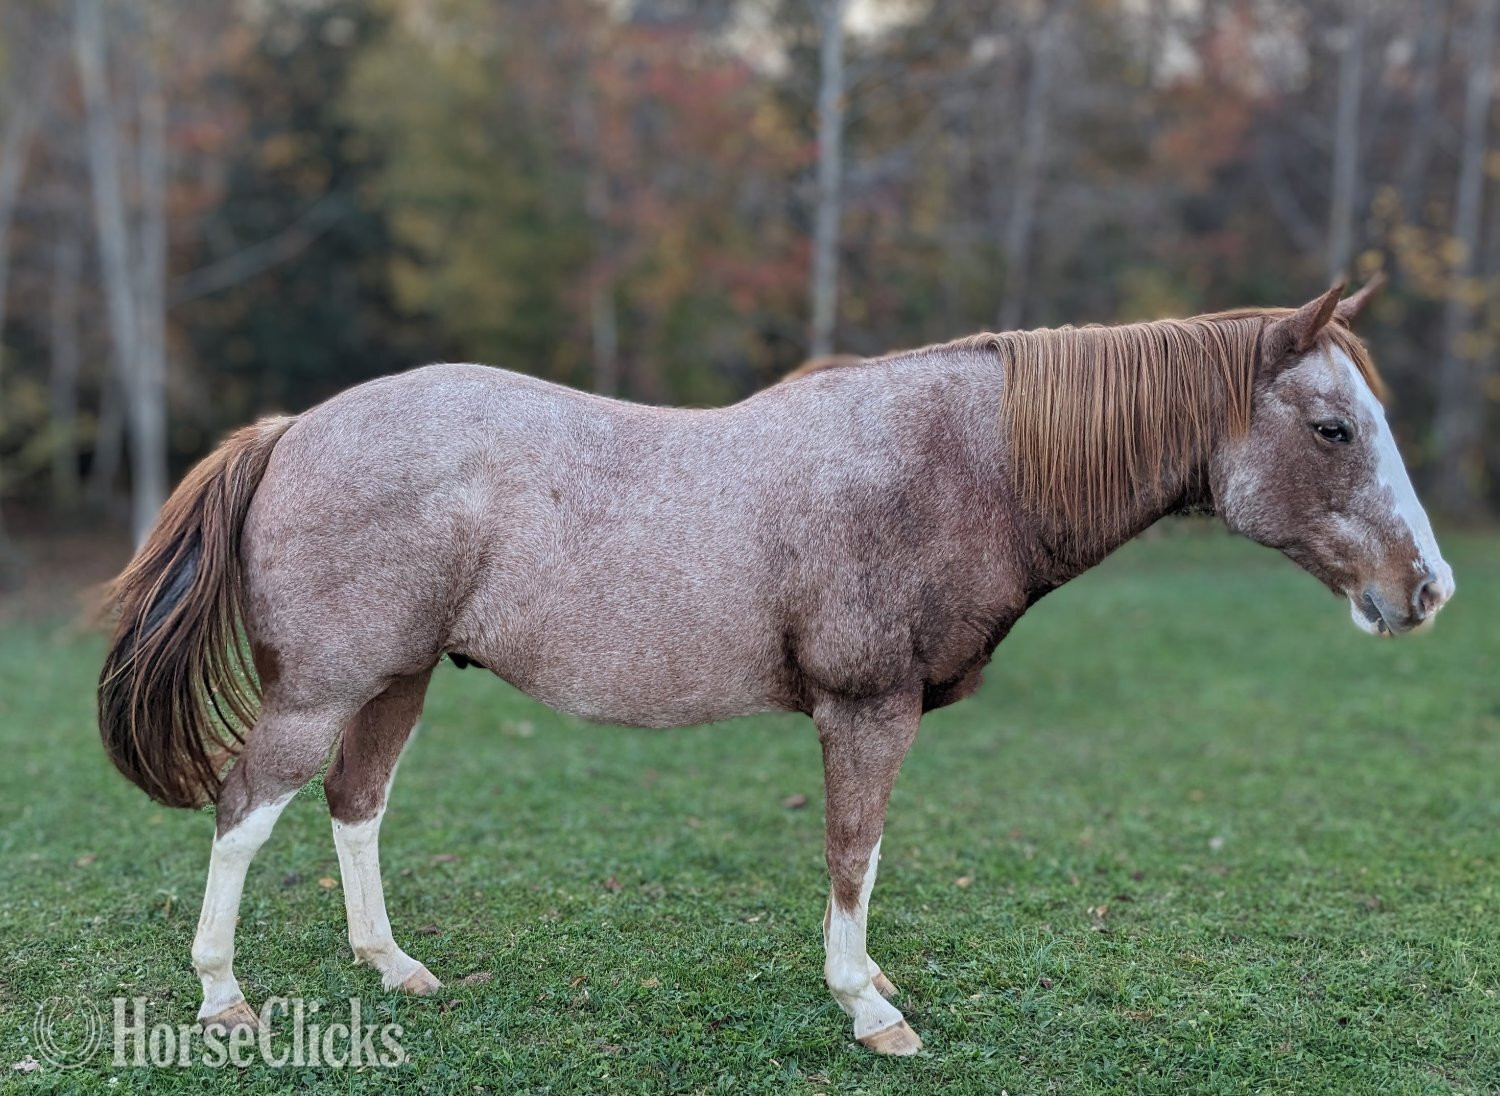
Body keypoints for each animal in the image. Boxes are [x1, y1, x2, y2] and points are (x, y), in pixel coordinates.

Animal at [98, 279, 1453, 1055]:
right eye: (1333, 427)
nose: (1428, 590)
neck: (960, 462)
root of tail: (294, 429)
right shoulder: (865, 707)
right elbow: (853, 850)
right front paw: (869, 1005)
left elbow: (867, 855)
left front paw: (871, 978)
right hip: (324, 684)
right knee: (247, 807)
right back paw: (222, 995)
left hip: (401, 677)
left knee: (353, 802)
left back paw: (391, 964)